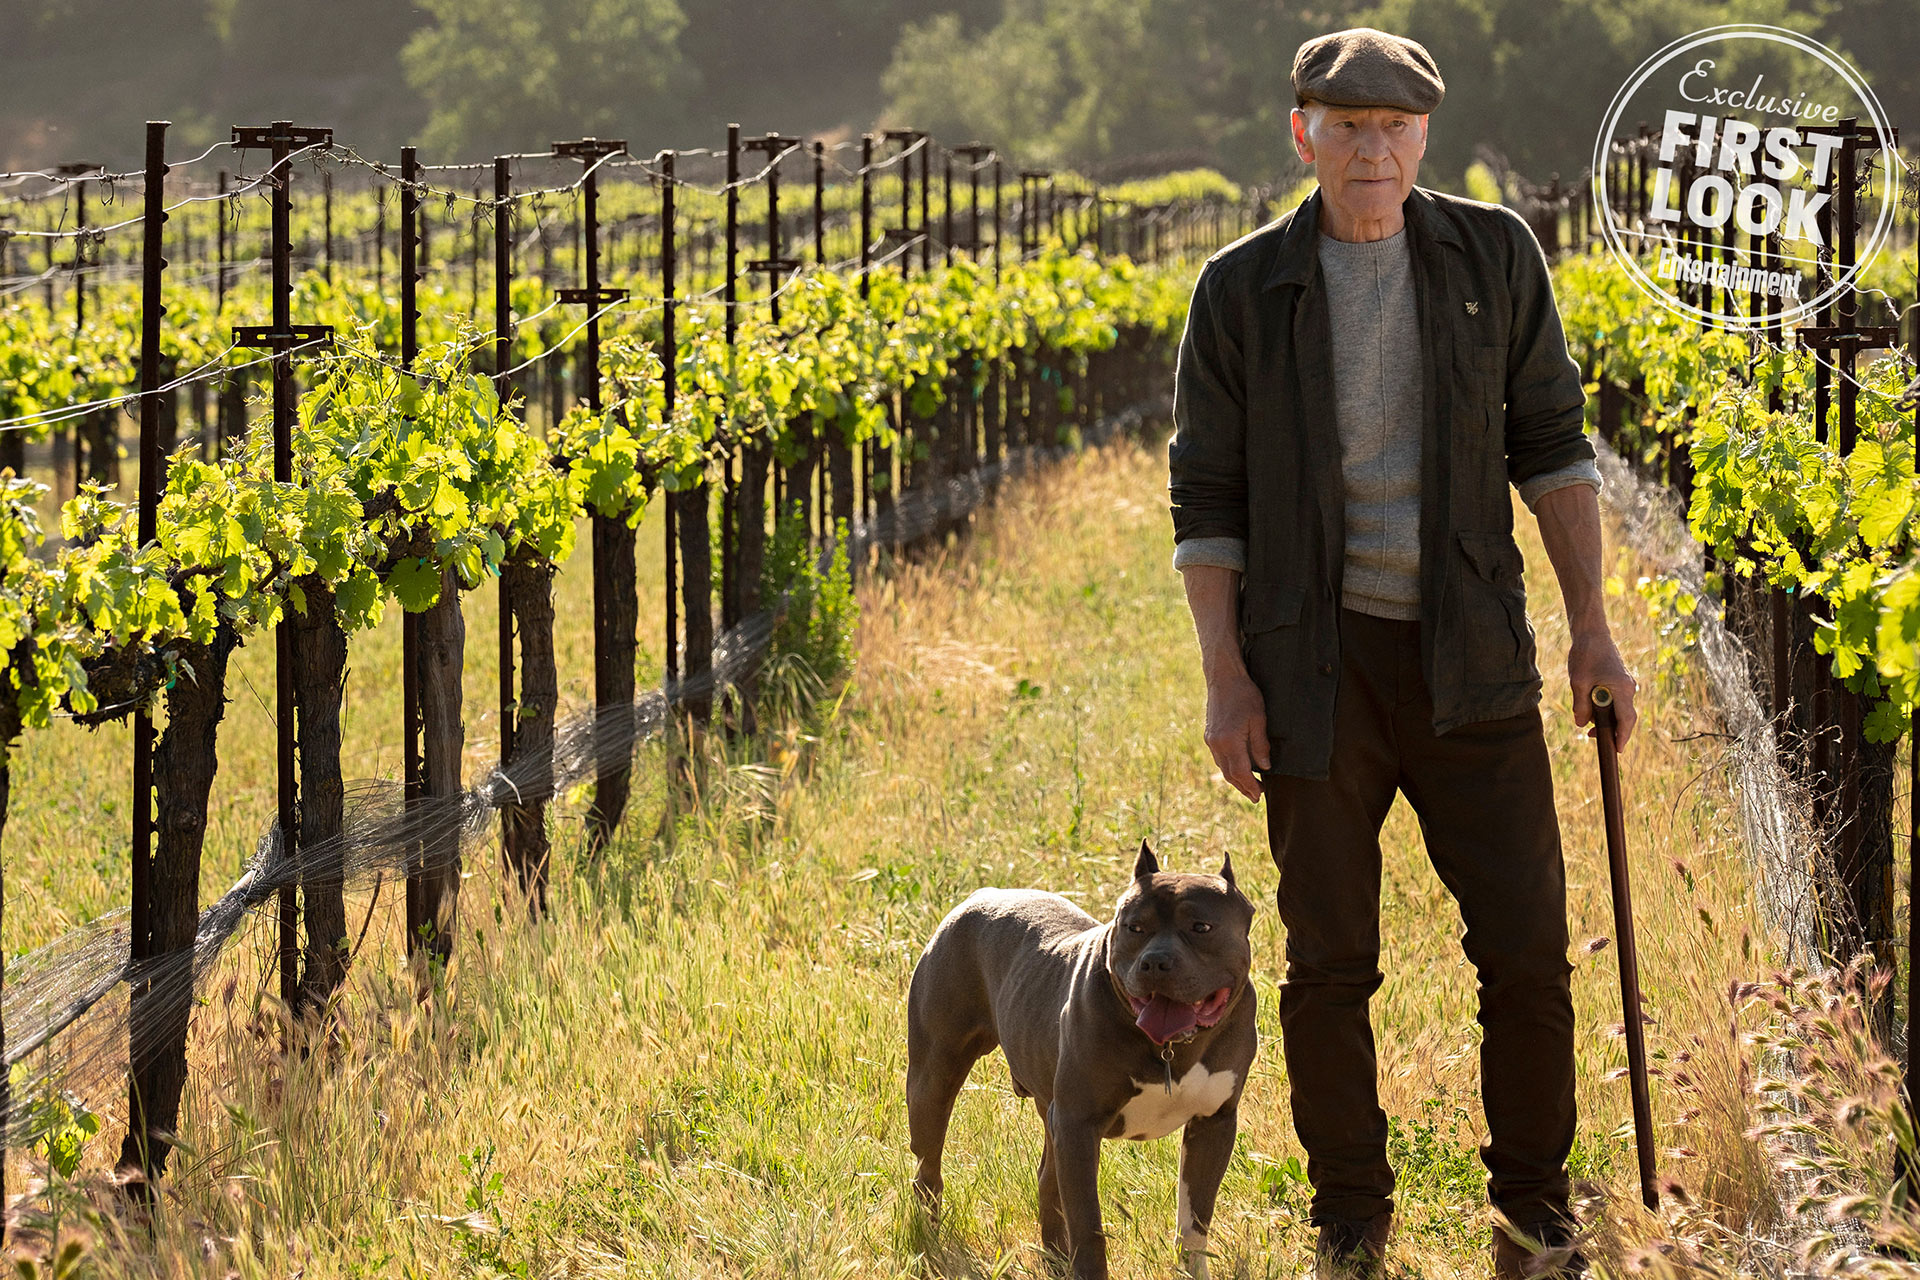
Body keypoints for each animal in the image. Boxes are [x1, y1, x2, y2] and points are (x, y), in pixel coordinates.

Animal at [910, 840, 1259, 1280]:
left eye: (1201, 928)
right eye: (1134, 927)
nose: (1155, 961)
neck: (1172, 1049)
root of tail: (981, 895)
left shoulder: (1213, 1124)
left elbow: (1194, 1222)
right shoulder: (1078, 1125)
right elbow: (1088, 1226)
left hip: (1048, 1106)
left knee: (1047, 1180)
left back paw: (1056, 1261)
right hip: (933, 1077)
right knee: (928, 1167)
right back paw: (928, 1239)